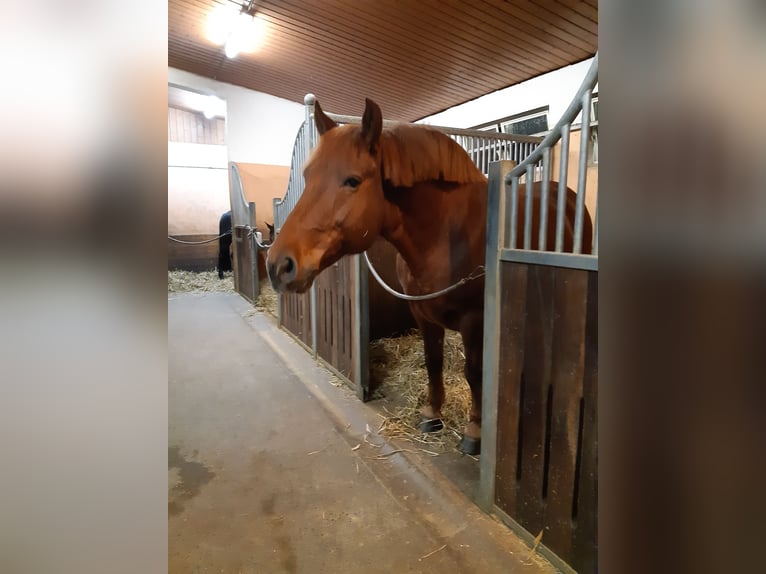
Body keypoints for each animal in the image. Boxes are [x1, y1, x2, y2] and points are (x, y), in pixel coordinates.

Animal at [268, 99, 596, 456]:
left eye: (352, 180)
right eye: (308, 176)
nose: (278, 265)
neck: (445, 235)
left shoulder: (474, 319)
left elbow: (473, 372)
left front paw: (475, 431)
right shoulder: (422, 314)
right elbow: (433, 361)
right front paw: (431, 414)